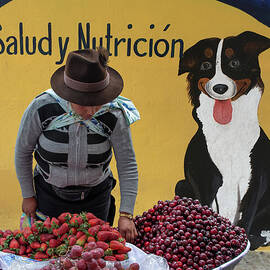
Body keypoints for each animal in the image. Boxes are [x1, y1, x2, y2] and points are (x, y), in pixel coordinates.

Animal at [175, 31, 270, 249]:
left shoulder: (255, 179)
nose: (220, 88)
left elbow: (247, 216)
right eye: (205, 65)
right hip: (182, 184)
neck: (228, 130)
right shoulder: (204, 177)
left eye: (234, 62)